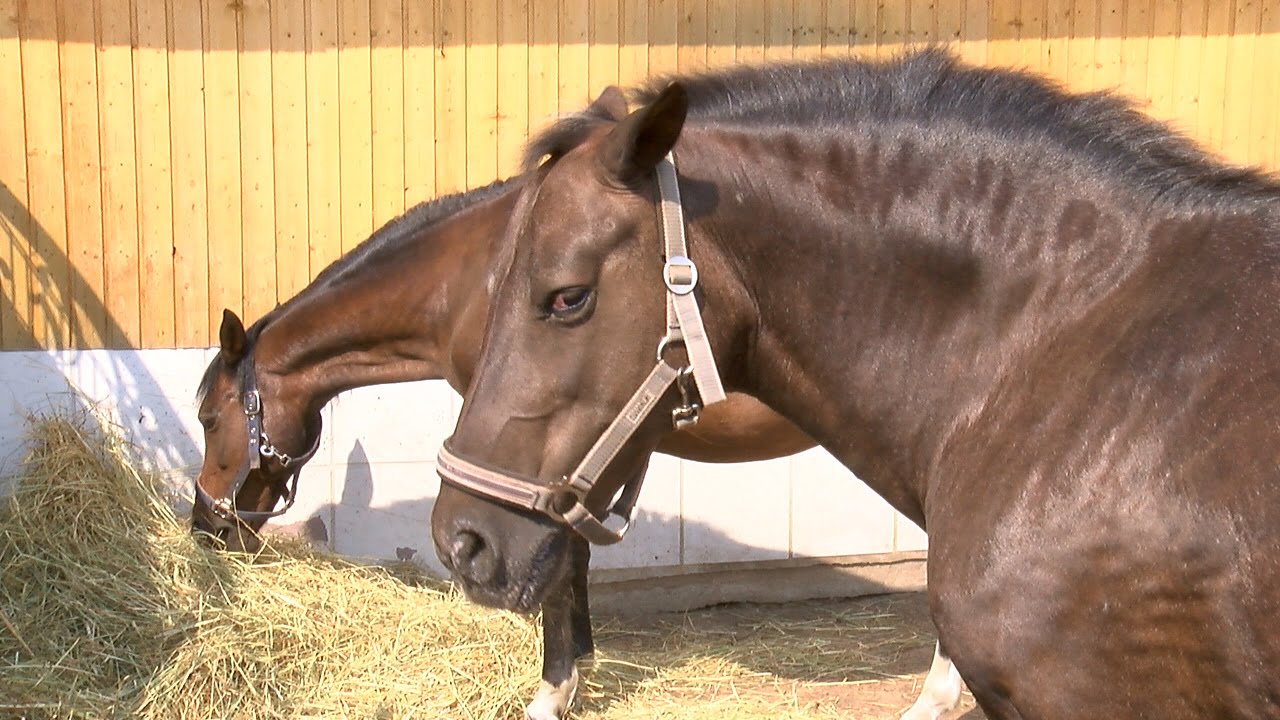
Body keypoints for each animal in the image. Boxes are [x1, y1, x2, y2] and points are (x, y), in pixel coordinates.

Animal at [190, 87, 962, 720]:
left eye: (209, 418)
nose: (207, 525)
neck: (468, 282)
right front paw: (577, 668)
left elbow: (557, 568)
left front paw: (552, 687)